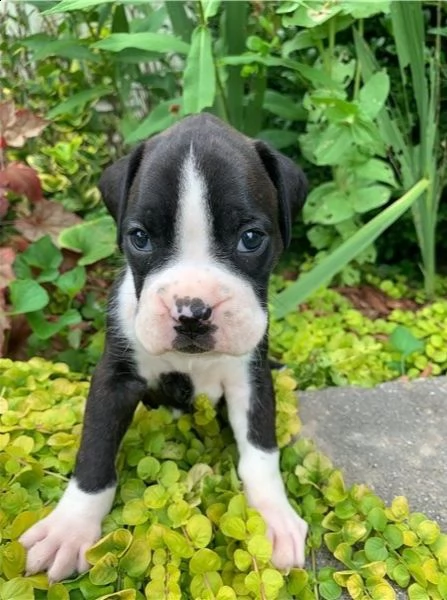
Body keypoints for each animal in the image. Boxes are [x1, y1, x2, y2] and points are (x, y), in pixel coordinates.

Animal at [20, 112, 308, 580]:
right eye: (139, 237)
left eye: (251, 238)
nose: (192, 312)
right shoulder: (115, 380)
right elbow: (95, 451)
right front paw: (70, 528)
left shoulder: (251, 379)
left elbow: (261, 451)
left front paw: (273, 516)